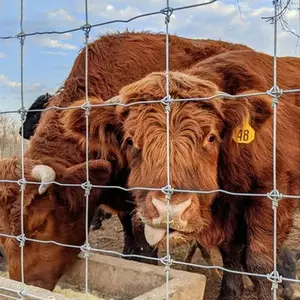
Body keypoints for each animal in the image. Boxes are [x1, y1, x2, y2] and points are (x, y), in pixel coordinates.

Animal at [0, 31, 251, 290]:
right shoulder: (124, 205)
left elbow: (144, 249)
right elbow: (130, 244)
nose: (23, 283)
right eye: (3, 229)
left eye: (40, 223)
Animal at [63, 47, 300, 300]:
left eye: (211, 137)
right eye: (130, 140)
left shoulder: (273, 193)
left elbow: (260, 261)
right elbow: (231, 254)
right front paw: (230, 293)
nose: (170, 211)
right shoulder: (229, 207)